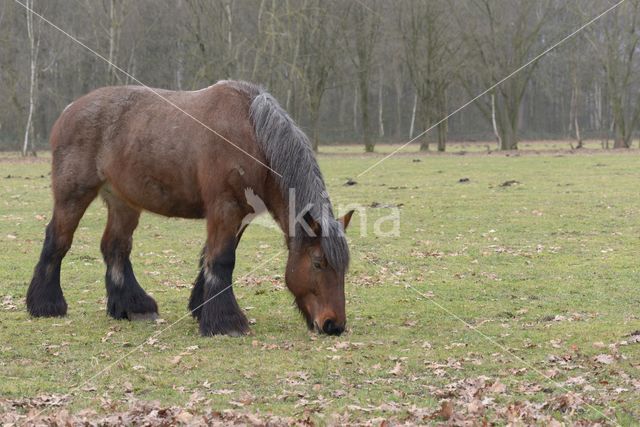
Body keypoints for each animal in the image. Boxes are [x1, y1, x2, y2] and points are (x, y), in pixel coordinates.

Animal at [26, 80, 356, 338]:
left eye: (343, 268)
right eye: (318, 263)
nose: (333, 325)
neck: (252, 135)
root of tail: (70, 109)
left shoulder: (240, 215)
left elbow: (209, 258)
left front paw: (201, 308)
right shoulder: (225, 207)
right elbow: (222, 259)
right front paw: (226, 322)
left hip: (124, 202)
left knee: (115, 248)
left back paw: (133, 306)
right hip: (73, 195)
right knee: (58, 240)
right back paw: (46, 305)